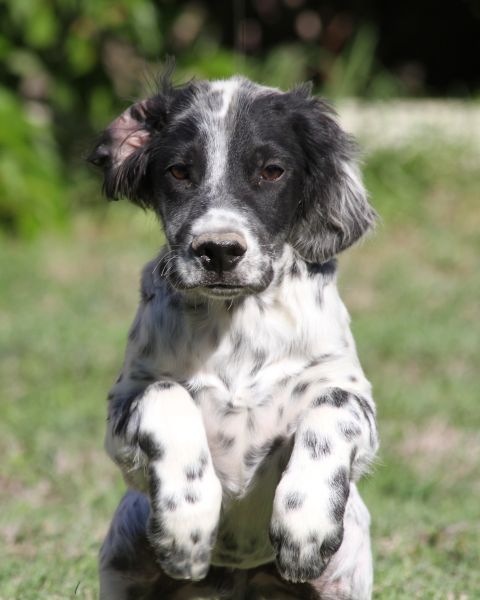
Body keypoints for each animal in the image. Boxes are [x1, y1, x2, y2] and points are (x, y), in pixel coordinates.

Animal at [88, 73, 379, 599]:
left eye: (271, 171)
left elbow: (333, 408)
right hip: (124, 544)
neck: (236, 321)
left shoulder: (355, 402)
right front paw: (186, 525)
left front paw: (305, 526)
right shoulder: (122, 415)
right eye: (179, 172)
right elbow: (166, 393)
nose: (219, 251)